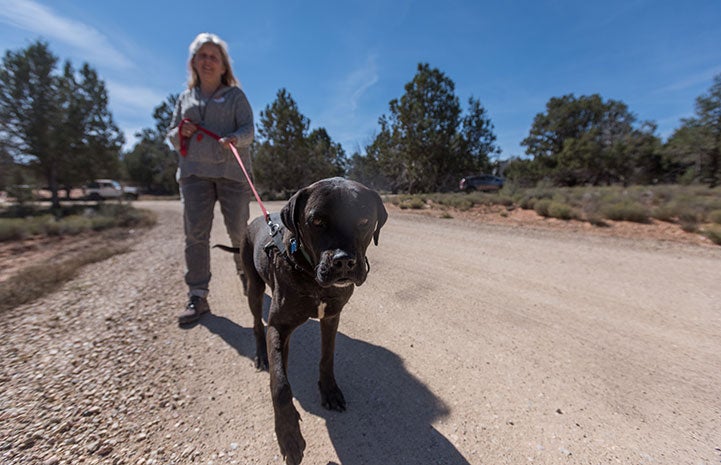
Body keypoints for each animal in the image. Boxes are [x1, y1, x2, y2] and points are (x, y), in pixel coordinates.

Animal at [219, 176, 388, 462]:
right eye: (317, 221)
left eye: (365, 220)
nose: (344, 262)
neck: (311, 274)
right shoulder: (278, 326)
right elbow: (280, 385)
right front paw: (289, 436)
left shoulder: (331, 317)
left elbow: (327, 358)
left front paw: (329, 390)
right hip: (254, 288)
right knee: (257, 325)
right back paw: (262, 355)